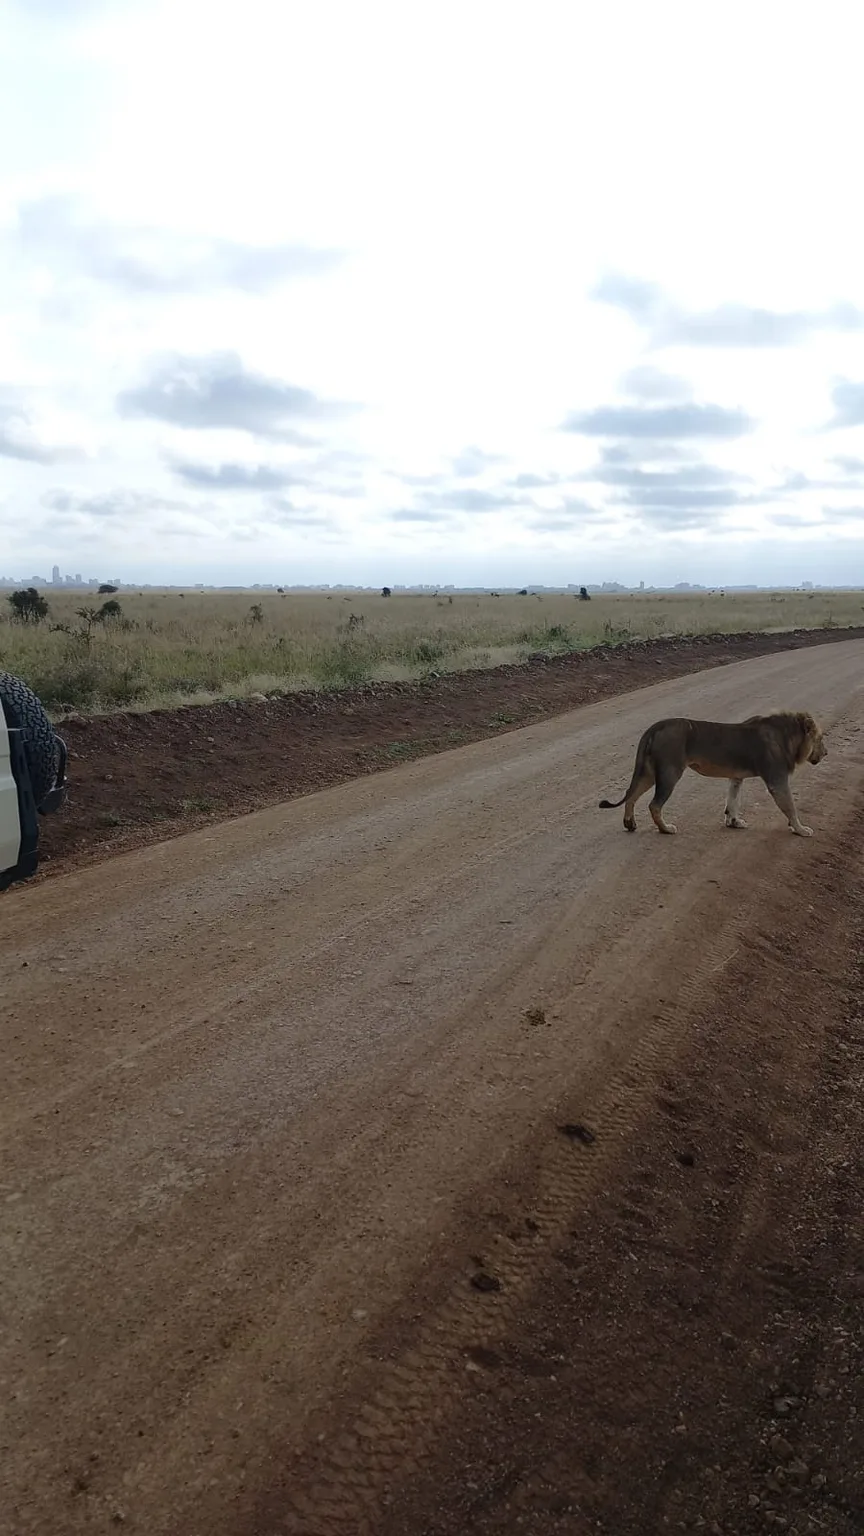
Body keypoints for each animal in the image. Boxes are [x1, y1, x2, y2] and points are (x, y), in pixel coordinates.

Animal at [599, 710, 826, 836]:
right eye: (820, 738)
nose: (826, 753)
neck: (789, 737)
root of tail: (655, 726)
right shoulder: (776, 779)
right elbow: (790, 806)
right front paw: (801, 830)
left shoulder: (736, 777)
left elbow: (733, 801)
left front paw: (734, 822)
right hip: (669, 771)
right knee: (654, 805)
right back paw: (666, 829)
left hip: (648, 772)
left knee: (631, 796)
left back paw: (630, 824)